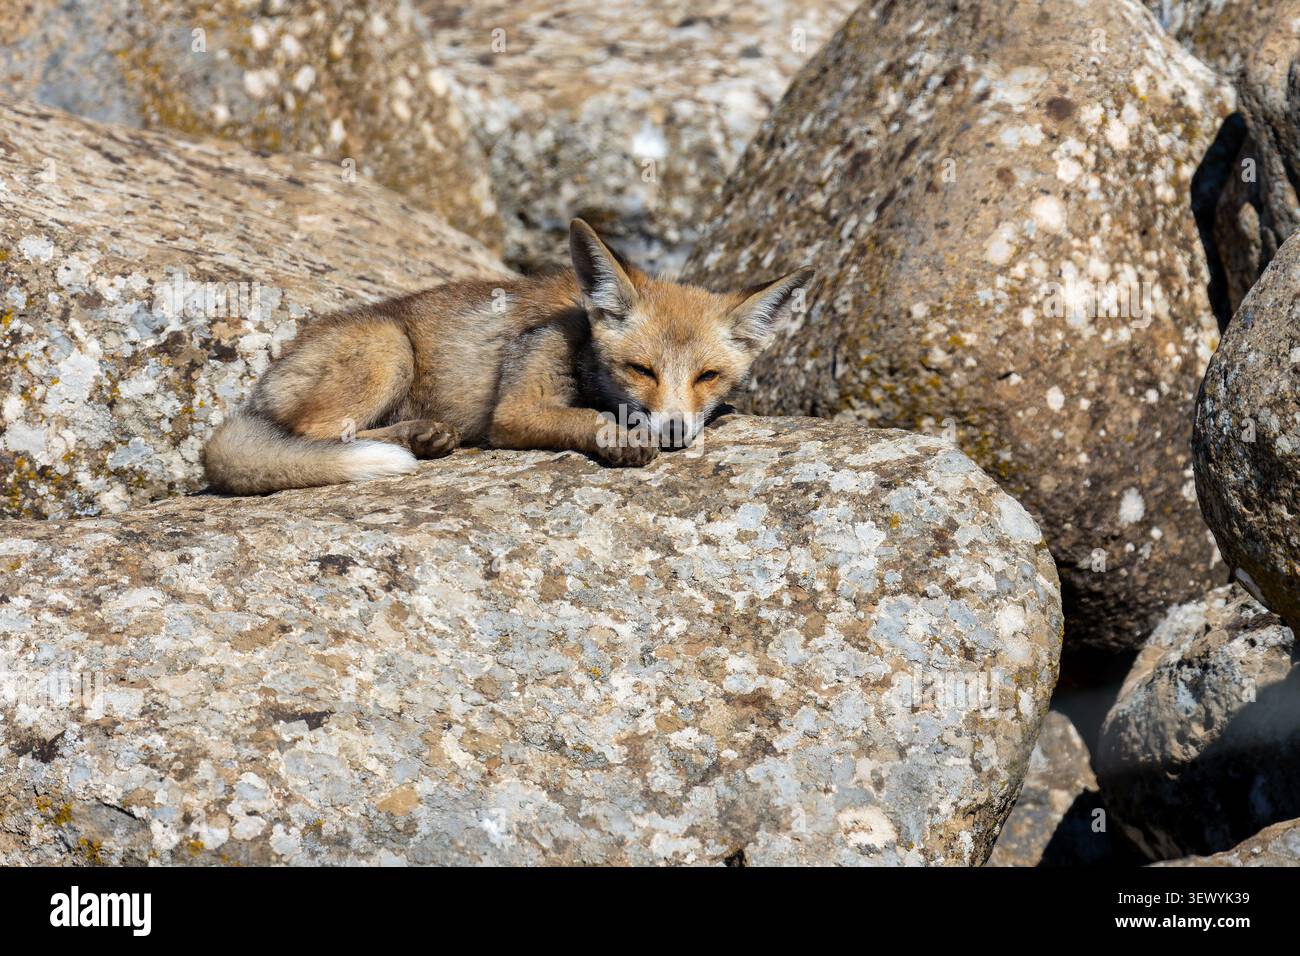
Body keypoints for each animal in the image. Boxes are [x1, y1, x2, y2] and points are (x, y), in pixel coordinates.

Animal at [202, 219, 813, 495]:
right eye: (641, 369)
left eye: (708, 375)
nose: (675, 430)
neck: (581, 342)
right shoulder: (517, 405)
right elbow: (584, 419)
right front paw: (617, 437)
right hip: (388, 349)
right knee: (318, 438)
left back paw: (423, 436)